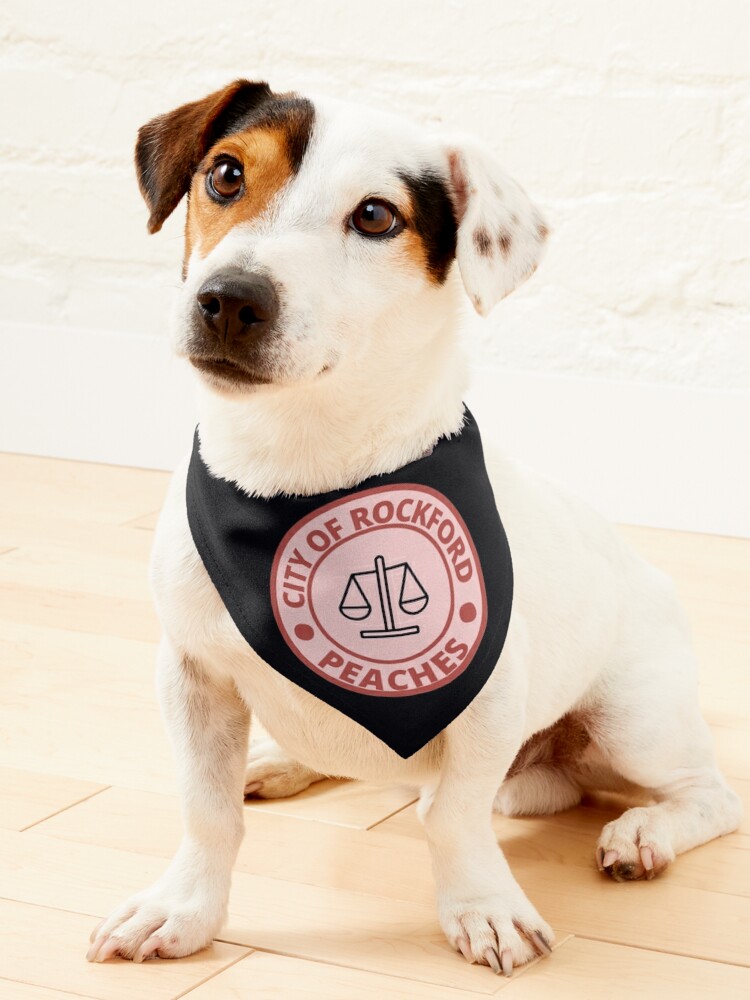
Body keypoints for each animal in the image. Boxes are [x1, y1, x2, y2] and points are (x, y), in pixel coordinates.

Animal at [85, 82, 744, 972]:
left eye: (375, 216)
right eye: (225, 174)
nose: (230, 298)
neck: (300, 471)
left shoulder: (488, 699)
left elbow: (452, 817)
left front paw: (483, 908)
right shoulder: (192, 677)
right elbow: (207, 810)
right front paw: (183, 909)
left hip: (635, 719)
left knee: (708, 796)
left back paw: (645, 833)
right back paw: (282, 761)